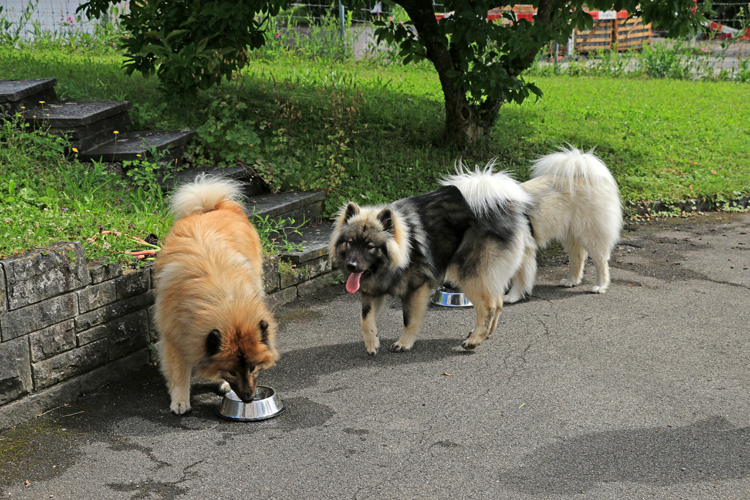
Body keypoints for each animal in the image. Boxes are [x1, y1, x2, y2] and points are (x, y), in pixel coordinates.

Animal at [153, 176, 280, 414]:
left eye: (253, 368)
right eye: (232, 371)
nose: (249, 399)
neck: (225, 303)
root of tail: (214, 208)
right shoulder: (174, 334)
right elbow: (178, 371)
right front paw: (180, 400)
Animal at [328, 162, 536, 354]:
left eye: (370, 246)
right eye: (350, 243)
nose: (351, 265)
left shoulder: (416, 288)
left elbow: (409, 319)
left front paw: (404, 343)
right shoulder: (372, 290)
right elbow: (365, 319)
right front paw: (372, 343)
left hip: (470, 274)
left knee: (488, 307)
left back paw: (474, 340)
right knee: (498, 302)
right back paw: (486, 334)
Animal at [508, 145, 624, 300]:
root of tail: (581, 175)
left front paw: (511, 296)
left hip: (591, 236)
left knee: (601, 262)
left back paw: (600, 286)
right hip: (572, 235)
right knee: (577, 259)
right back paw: (571, 281)